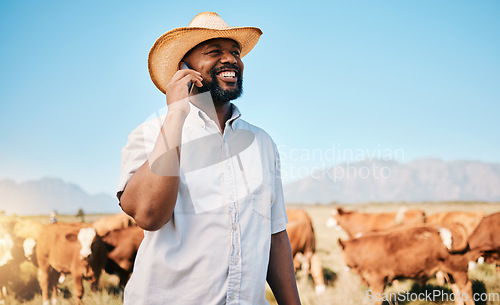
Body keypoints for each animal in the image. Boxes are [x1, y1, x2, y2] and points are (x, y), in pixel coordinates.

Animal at [340, 224, 472, 302]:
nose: (346, 266)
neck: (362, 249)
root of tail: (452, 227)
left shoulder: (377, 280)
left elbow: (377, 299)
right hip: (450, 272)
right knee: (457, 290)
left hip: (459, 270)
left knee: (466, 288)